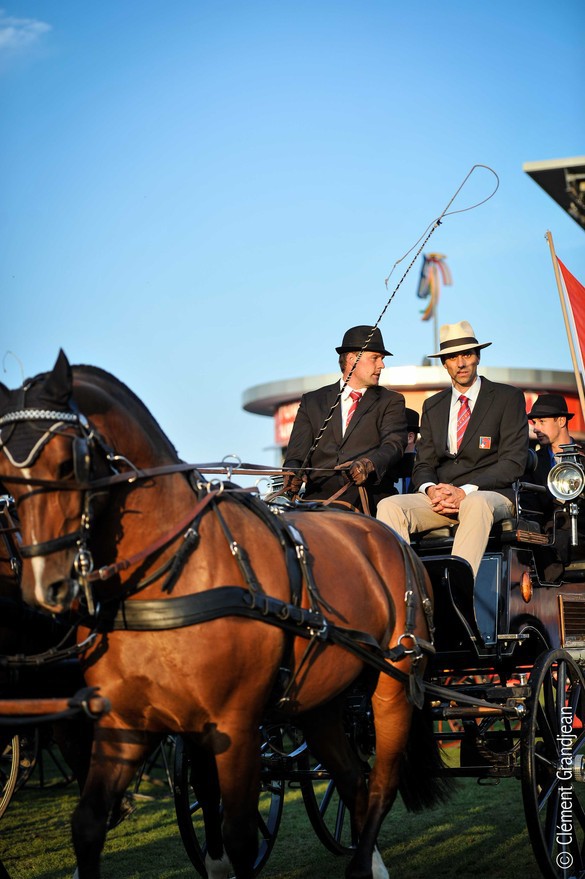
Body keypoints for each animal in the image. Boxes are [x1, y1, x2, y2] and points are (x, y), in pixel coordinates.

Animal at [0, 352, 450, 879]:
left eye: (66, 462)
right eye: (4, 469)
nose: (44, 585)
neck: (177, 571)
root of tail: (393, 539)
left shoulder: (235, 726)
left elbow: (238, 833)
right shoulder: (126, 721)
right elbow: (89, 824)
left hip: (393, 685)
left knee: (382, 781)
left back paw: (365, 863)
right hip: (321, 703)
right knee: (353, 778)